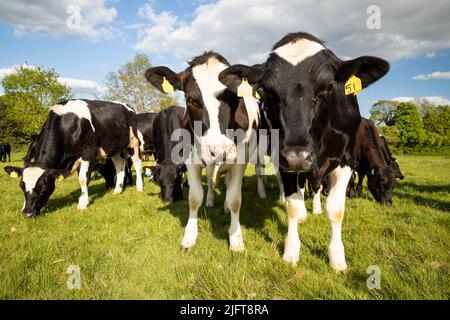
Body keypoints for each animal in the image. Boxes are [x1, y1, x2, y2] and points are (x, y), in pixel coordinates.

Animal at [4, 100, 143, 219]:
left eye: (43, 187)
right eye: (21, 186)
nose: (28, 213)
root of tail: (128, 107)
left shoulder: (88, 153)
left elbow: (83, 179)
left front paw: (82, 203)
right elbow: (81, 179)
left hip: (134, 143)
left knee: (137, 163)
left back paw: (139, 187)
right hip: (115, 148)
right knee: (119, 166)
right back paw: (117, 190)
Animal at [145, 51, 260, 251]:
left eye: (236, 98)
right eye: (191, 99)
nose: (219, 150)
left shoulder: (239, 161)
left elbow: (235, 200)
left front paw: (236, 238)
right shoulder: (190, 160)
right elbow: (194, 198)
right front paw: (189, 237)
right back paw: (211, 200)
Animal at [220, 31, 388, 270]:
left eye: (328, 86)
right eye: (266, 91)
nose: (297, 157)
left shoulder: (347, 160)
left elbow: (336, 210)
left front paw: (337, 257)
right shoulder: (284, 160)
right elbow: (291, 204)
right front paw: (291, 251)